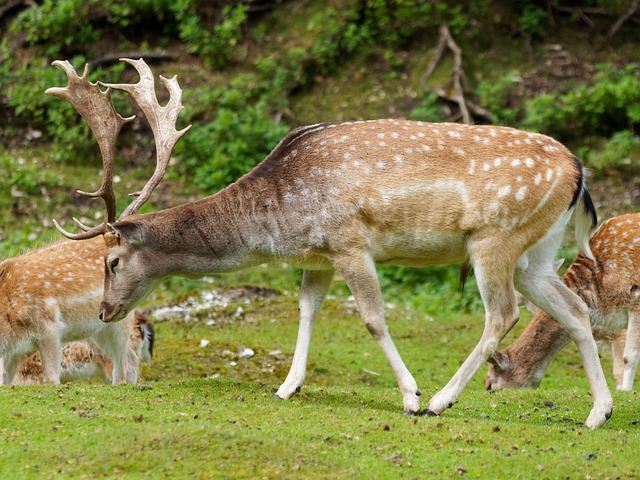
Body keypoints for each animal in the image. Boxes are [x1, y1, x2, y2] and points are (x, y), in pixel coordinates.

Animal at [47, 58, 612, 430]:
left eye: (111, 260)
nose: (103, 311)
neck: (279, 217)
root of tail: (578, 171)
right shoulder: (316, 255)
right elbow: (306, 310)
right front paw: (286, 386)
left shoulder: (348, 241)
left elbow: (373, 318)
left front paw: (410, 396)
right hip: (537, 252)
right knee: (573, 308)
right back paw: (598, 413)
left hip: (495, 237)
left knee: (503, 312)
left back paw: (440, 400)